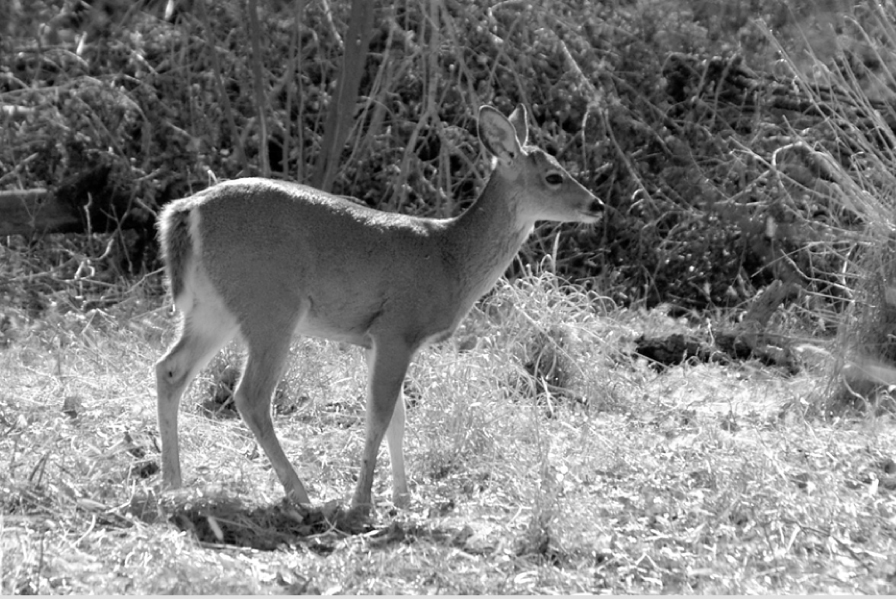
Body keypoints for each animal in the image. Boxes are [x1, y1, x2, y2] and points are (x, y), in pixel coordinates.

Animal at [154, 104, 604, 516]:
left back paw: (173, 484)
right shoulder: (396, 329)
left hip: (213, 308)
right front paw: (363, 502)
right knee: (250, 396)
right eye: (553, 176)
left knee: (169, 369)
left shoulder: (375, 340)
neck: (449, 259)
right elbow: (380, 414)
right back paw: (302, 495)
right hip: (270, 305)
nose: (597, 204)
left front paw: (403, 499)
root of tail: (187, 210)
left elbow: (399, 419)